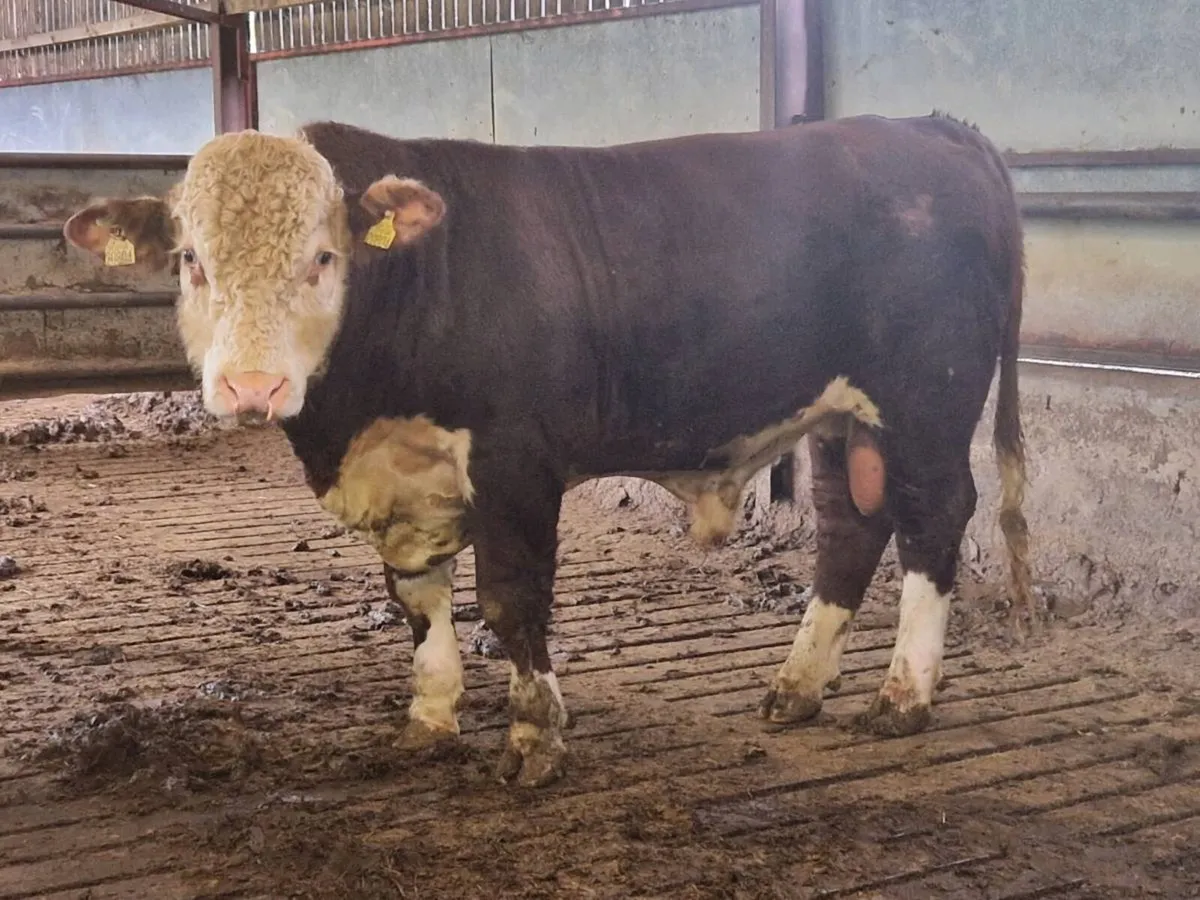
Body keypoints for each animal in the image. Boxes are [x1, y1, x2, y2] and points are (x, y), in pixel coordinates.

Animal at [63, 112, 1034, 787]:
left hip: (926, 400)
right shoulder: (405, 483)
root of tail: (933, 128)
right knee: (849, 528)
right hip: (839, 418)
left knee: (932, 519)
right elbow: (419, 600)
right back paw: (797, 686)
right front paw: (430, 718)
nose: (251, 387)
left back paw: (902, 695)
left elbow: (509, 599)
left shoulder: (516, 465)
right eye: (191, 260)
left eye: (323, 258)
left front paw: (534, 736)